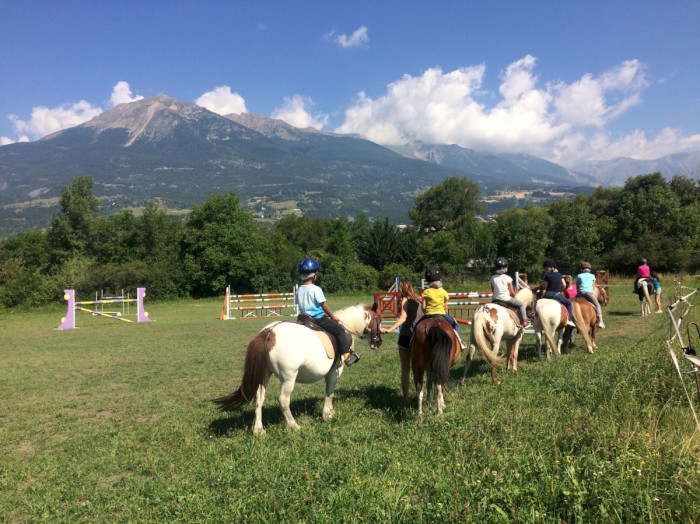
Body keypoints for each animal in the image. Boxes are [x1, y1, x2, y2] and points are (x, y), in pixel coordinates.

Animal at [212, 302, 380, 434]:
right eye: (378, 319)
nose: (378, 342)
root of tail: (269, 332)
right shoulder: (334, 372)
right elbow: (329, 392)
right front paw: (328, 414)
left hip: (264, 375)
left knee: (259, 398)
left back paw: (259, 430)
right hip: (289, 378)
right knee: (283, 400)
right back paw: (293, 426)